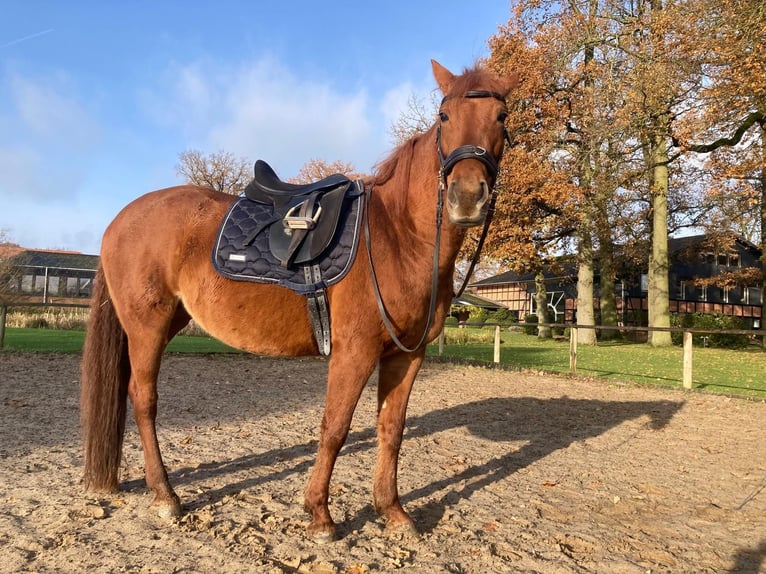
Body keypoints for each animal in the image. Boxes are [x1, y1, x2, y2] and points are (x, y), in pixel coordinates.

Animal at [81, 59, 520, 544]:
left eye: (501, 117)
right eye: (444, 117)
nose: (467, 197)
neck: (399, 235)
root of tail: (119, 220)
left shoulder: (407, 355)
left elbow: (391, 429)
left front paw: (393, 511)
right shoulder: (354, 351)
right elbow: (335, 428)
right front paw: (320, 515)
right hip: (148, 325)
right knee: (144, 399)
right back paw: (165, 496)